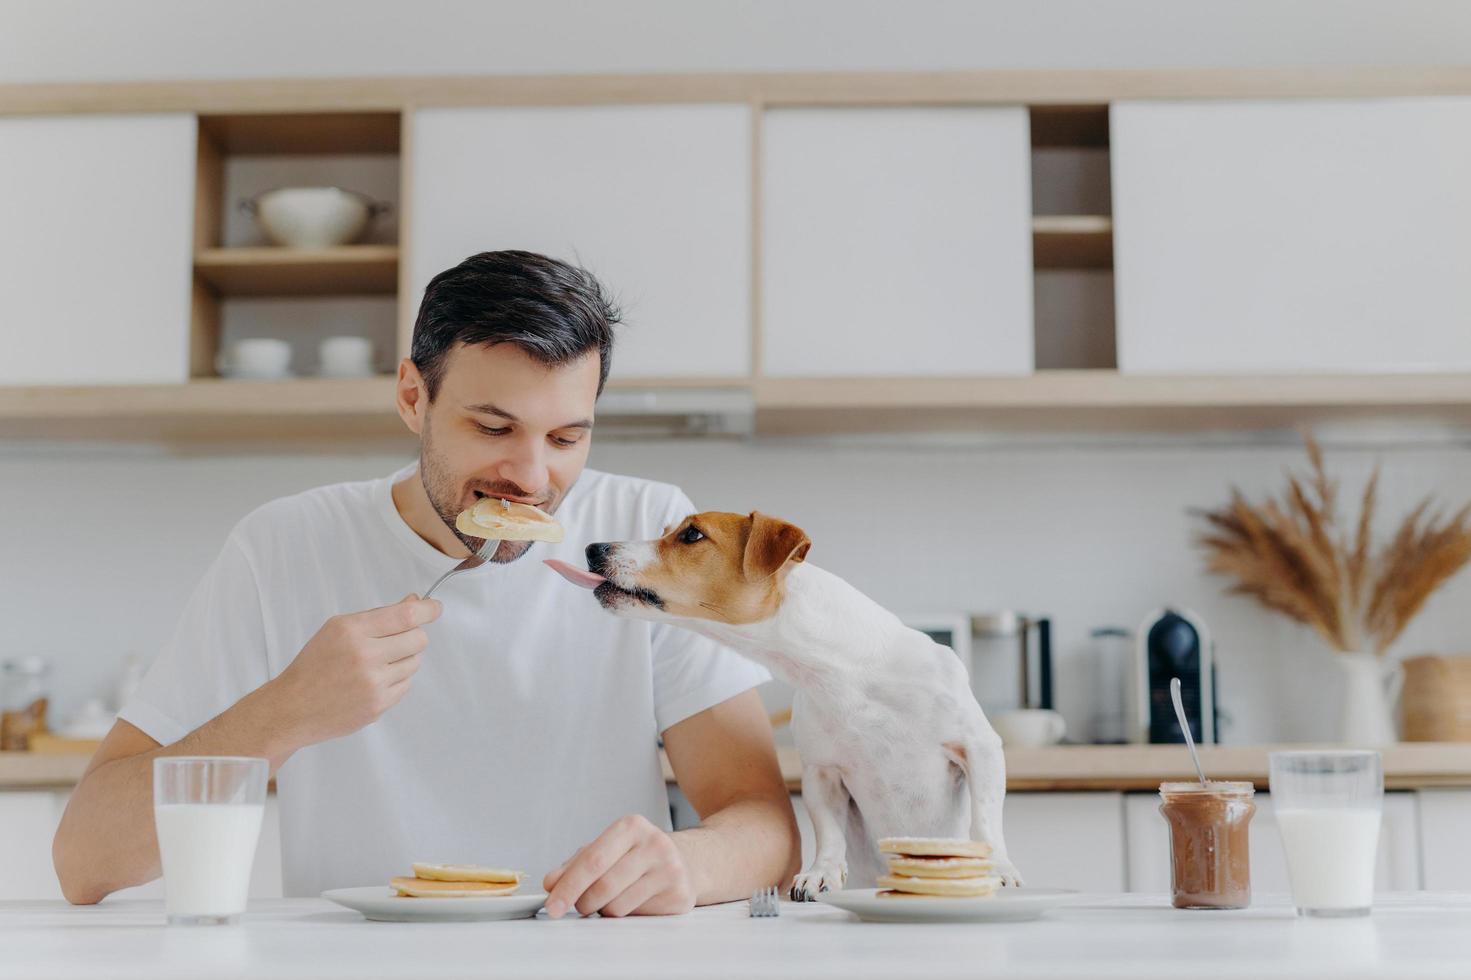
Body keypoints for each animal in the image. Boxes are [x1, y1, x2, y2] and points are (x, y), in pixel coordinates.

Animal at [544, 506, 1023, 894]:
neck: (842, 672)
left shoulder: (979, 747)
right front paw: (821, 873)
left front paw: (999, 867)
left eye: (692, 535)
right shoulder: (821, 774)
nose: (592, 547)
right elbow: (828, 832)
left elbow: (986, 819)